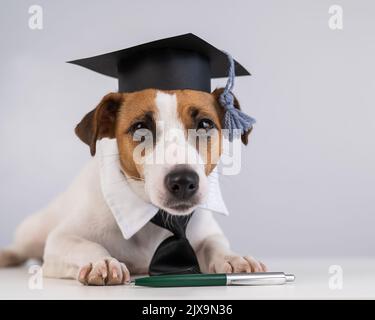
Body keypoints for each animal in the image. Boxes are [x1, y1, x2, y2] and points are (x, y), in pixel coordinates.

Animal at [0, 87, 268, 284]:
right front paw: (101, 261)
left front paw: (233, 258)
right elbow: (86, 244)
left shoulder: (205, 232)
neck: (158, 219)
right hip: (33, 231)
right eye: (141, 128)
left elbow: (215, 244)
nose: (183, 181)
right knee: (22, 247)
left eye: (204, 124)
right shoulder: (62, 239)